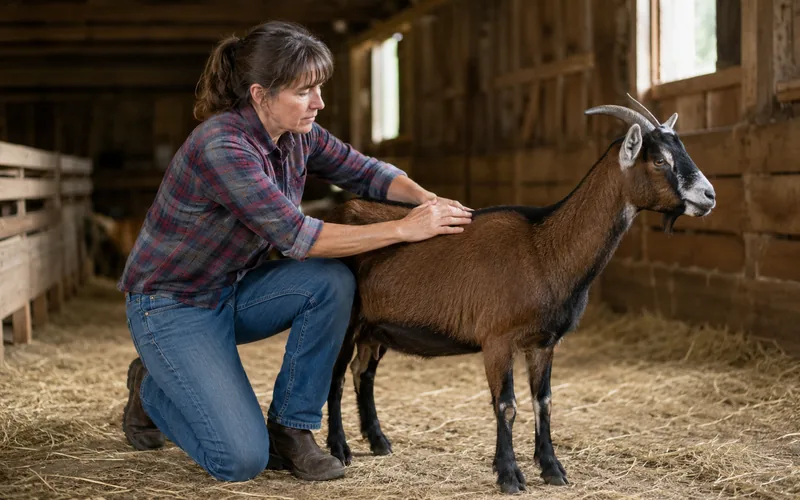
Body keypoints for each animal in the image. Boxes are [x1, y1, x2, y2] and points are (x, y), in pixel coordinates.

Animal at [322, 97, 716, 494]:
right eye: (659, 160)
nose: (709, 195)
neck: (544, 249)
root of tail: (339, 211)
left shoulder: (543, 343)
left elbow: (544, 401)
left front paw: (552, 469)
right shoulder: (497, 339)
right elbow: (506, 405)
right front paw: (509, 475)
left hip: (375, 329)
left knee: (363, 373)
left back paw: (378, 441)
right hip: (349, 321)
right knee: (335, 378)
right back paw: (340, 450)